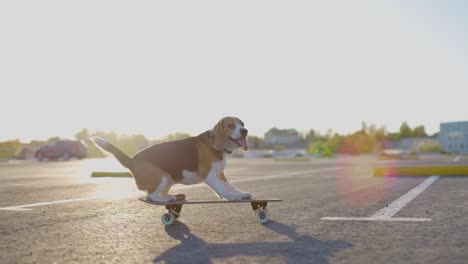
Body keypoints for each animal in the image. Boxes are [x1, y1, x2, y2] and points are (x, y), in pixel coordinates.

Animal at [92, 117, 252, 202]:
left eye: (242, 124)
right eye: (230, 125)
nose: (245, 131)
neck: (216, 146)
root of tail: (132, 160)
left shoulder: (220, 174)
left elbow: (230, 186)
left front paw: (240, 194)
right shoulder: (210, 175)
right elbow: (222, 189)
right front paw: (230, 197)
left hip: (167, 180)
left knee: (155, 193)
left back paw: (172, 196)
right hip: (161, 177)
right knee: (150, 195)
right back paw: (165, 199)